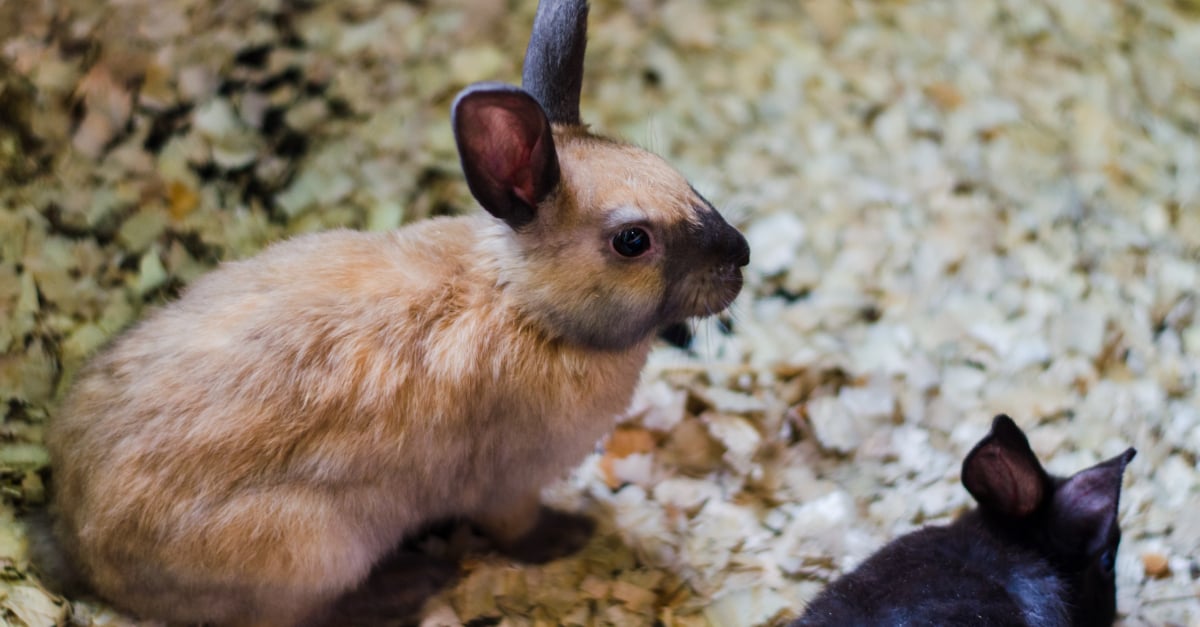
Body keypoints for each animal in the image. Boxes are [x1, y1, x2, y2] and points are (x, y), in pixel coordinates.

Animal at [39, 0, 750, 624]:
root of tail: (84, 549)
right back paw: (414, 583)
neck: (525, 306)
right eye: (632, 241)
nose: (741, 255)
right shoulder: (508, 486)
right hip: (315, 546)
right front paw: (570, 537)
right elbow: (516, 531)